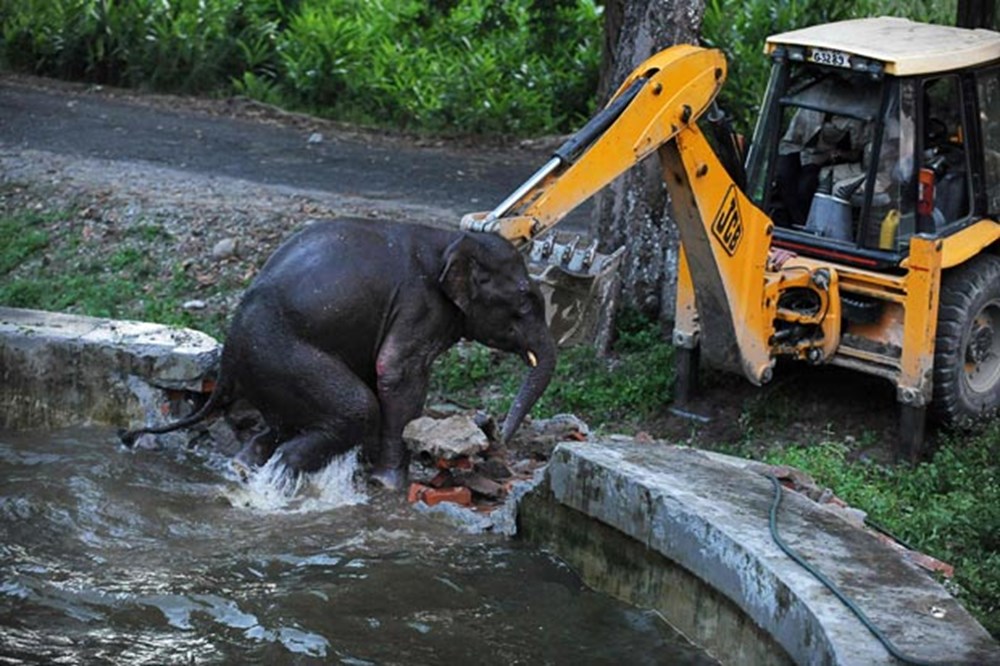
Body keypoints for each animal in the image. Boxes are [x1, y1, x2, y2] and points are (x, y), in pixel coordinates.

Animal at [122, 218, 560, 488]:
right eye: (525, 303)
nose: (500, 435)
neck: (449, 239)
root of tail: (228, 355)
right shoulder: (419, 306)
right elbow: (395, 371)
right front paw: (389, 484)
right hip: (283, 355)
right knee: (355, 409)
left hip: (268, 371)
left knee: (281, 424)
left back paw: (245, 465)